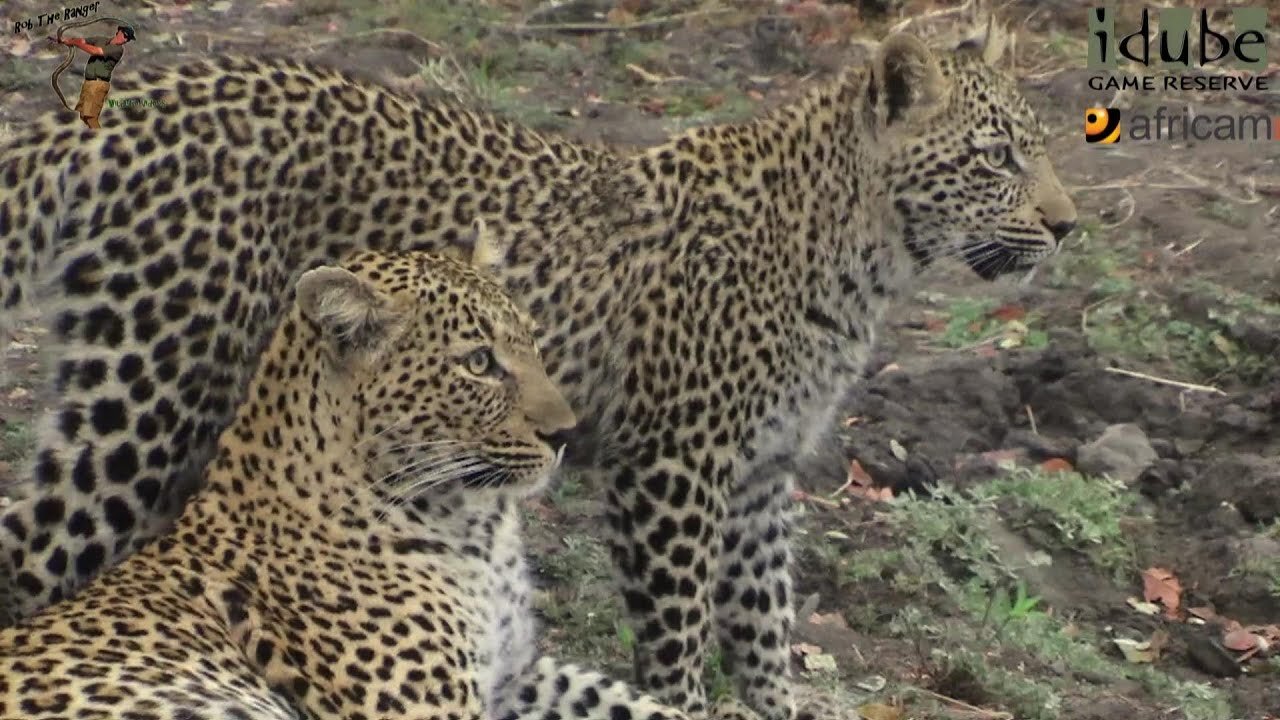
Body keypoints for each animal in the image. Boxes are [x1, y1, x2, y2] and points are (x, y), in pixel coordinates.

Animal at [0, 243, 757, 717]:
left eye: (532, 340)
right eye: (479, 362)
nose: (567, 433)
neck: (477, 528)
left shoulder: (514, 672)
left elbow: (627, 699)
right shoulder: (429, 708)